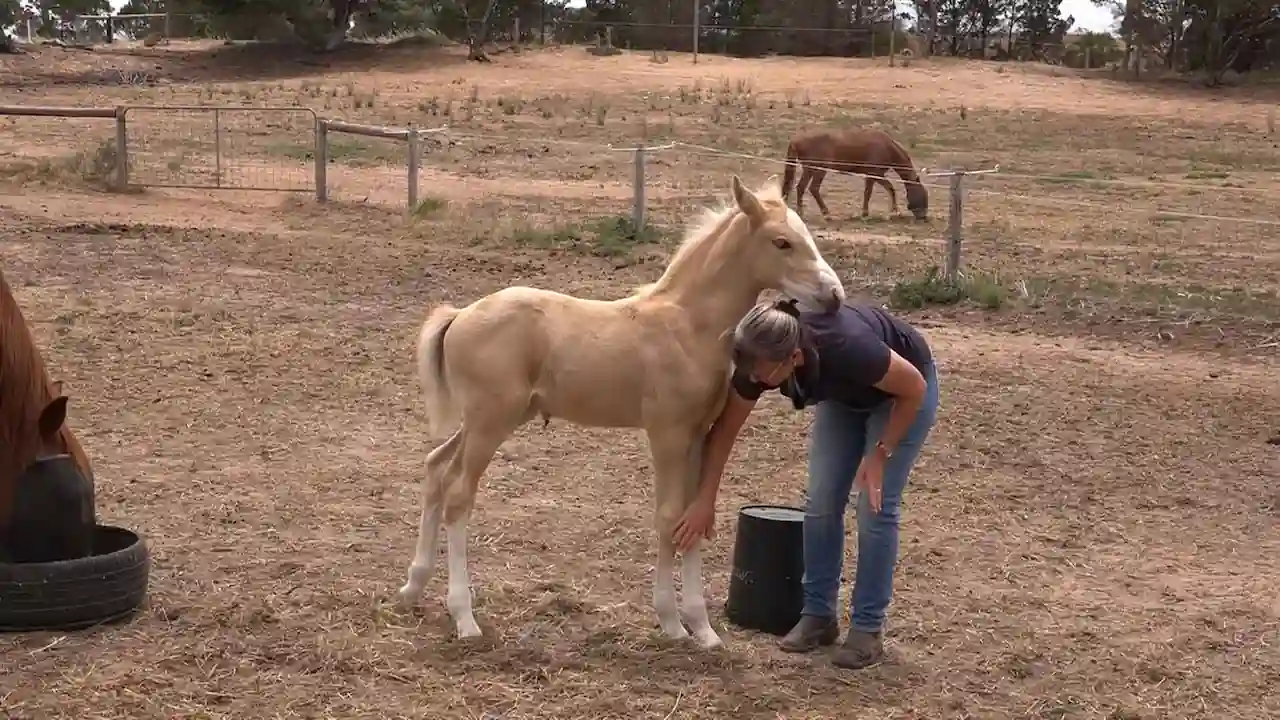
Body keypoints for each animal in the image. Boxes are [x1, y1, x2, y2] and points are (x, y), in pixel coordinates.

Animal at [394, 175, 846, 649]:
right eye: (782, 242)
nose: (833, 296)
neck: (688, 326)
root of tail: (460, 315)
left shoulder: (697, 434)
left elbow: (691, 519)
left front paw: (703, 630)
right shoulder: (666, 433)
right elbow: (668, 517)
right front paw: (671, 623)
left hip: (492, 418)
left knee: (436, 469)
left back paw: (412, 587)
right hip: (489, 421)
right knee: (458, 494)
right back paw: (464, 617)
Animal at [781, 128, 930, 221]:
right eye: (922, 194)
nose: (923, 216)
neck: (886, 146)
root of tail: (797, 139)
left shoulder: (877, 175)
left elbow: (888, 189)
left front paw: (894, 212)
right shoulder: (873, 175)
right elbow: (870, 192)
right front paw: (866, 214)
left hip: (809, 170)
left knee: (801, 188)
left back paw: (801, 213)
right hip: (819, 170)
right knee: (813, 189)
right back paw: (826, 214)